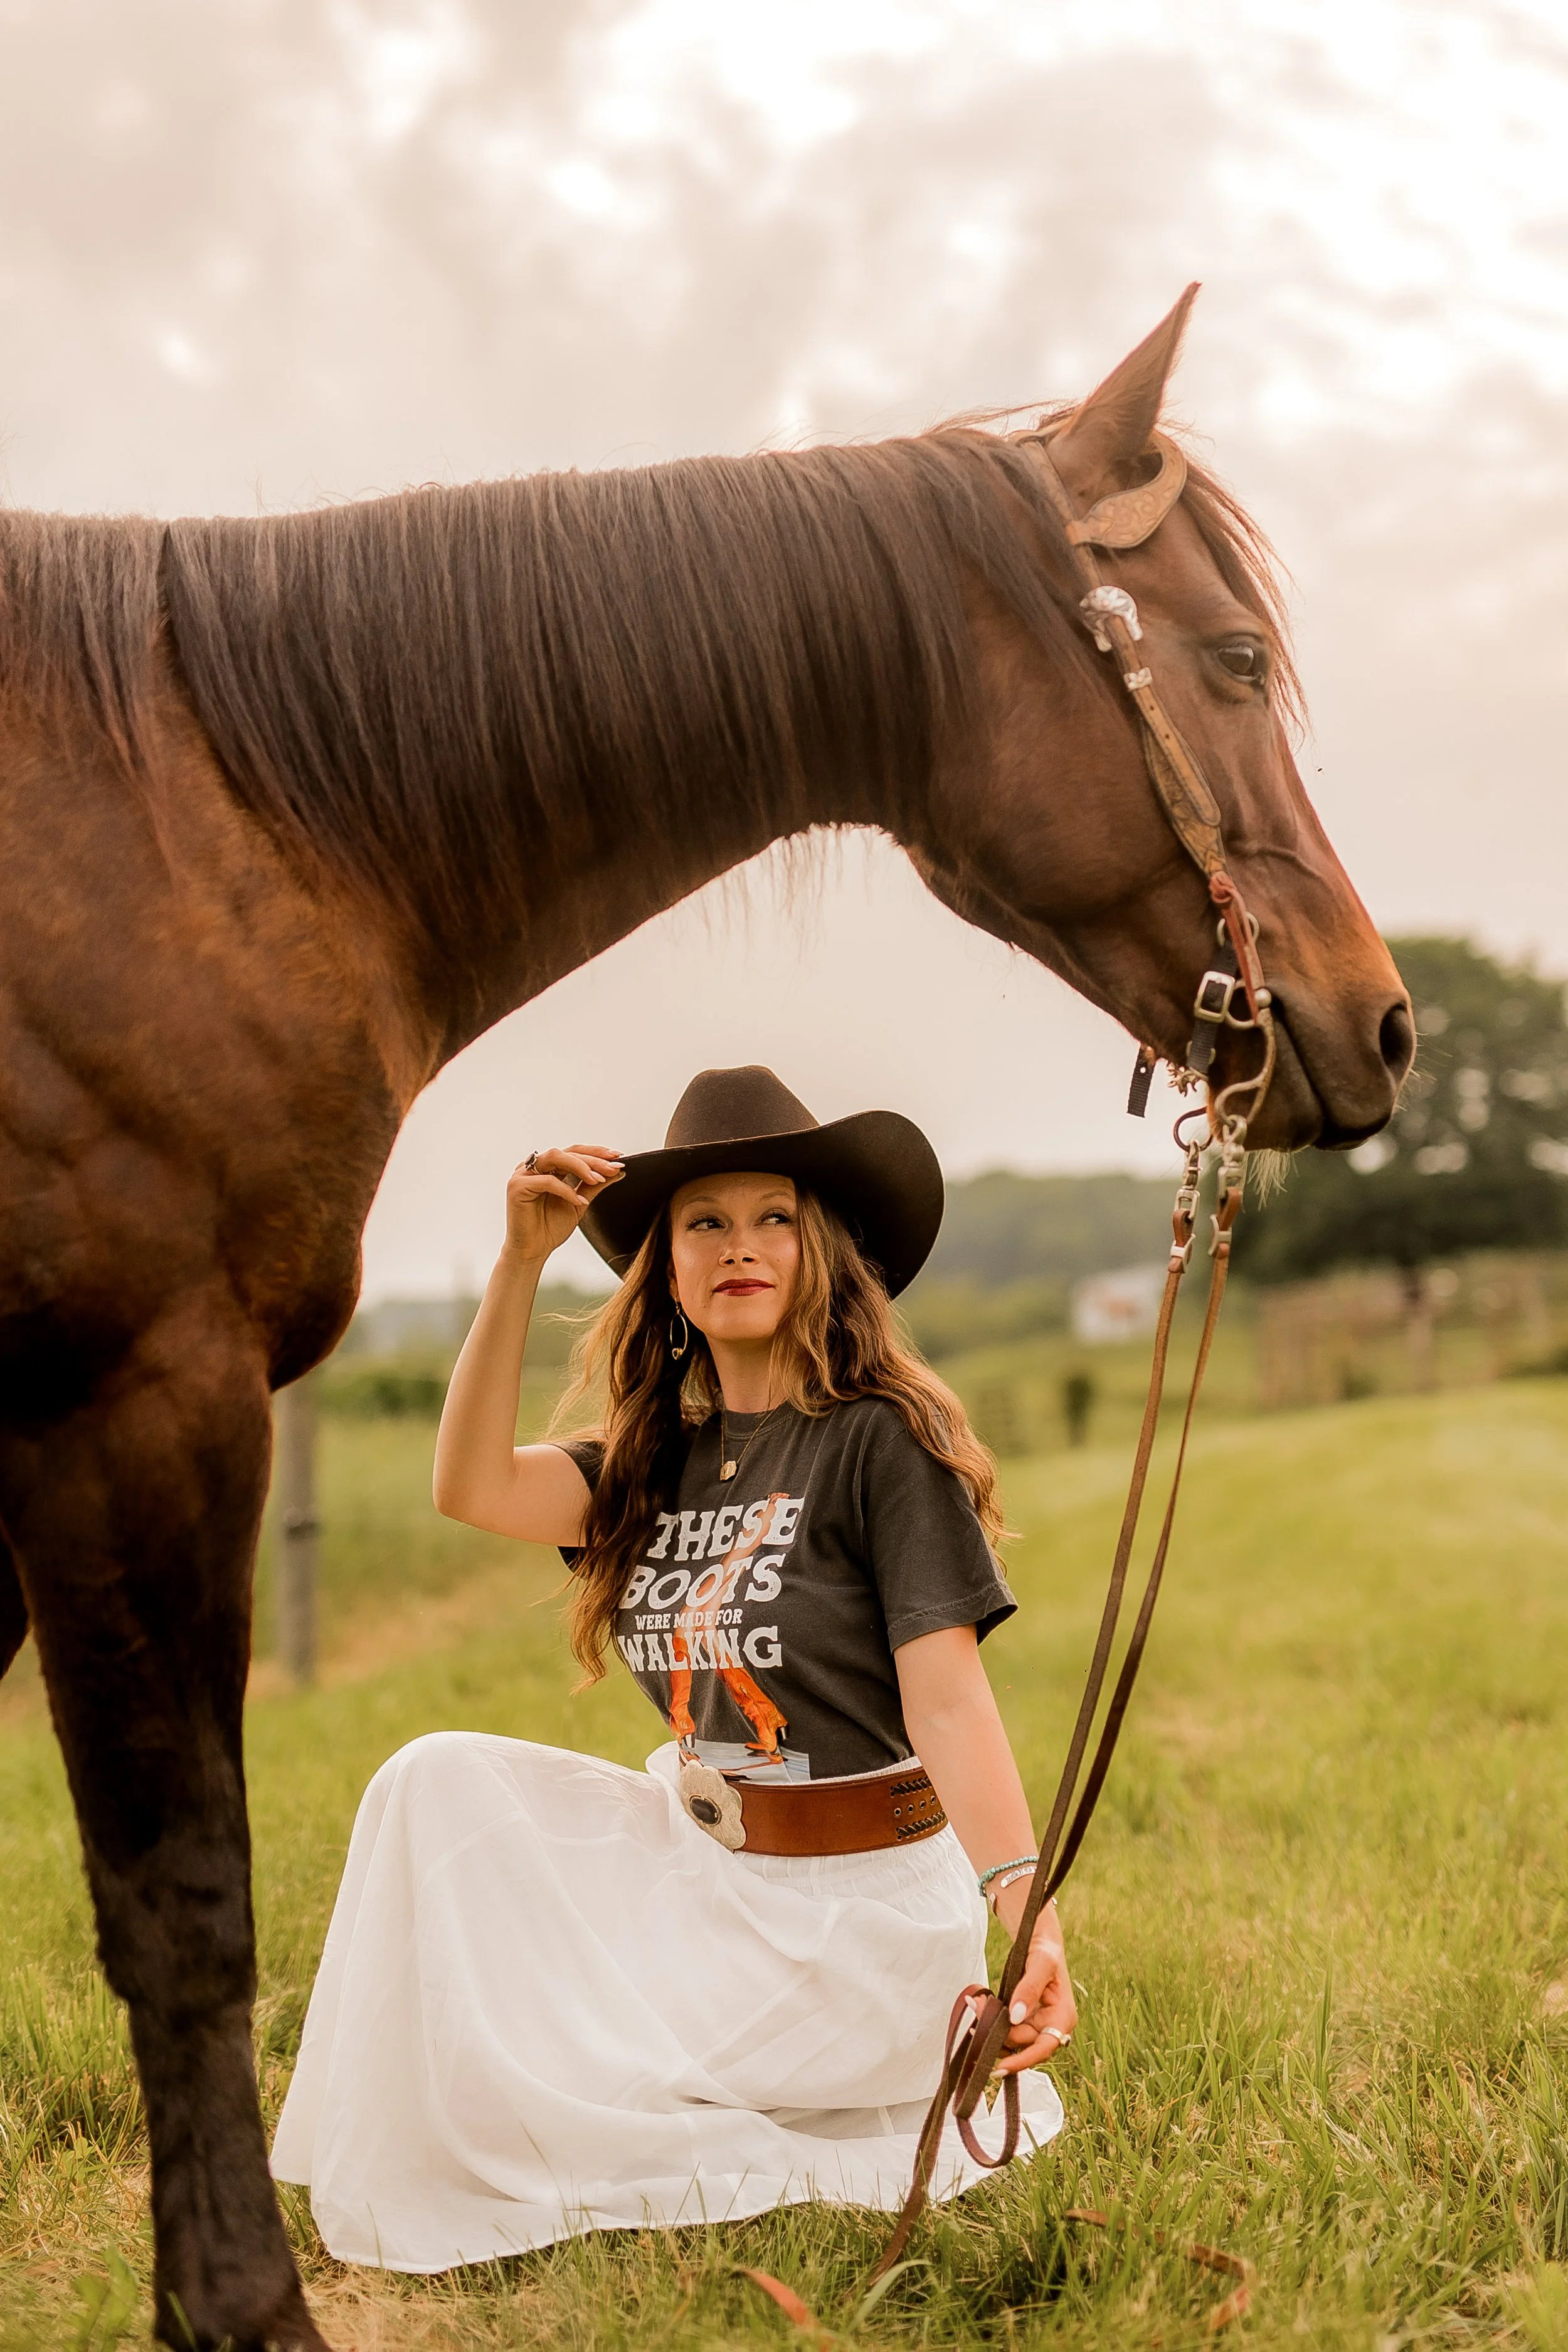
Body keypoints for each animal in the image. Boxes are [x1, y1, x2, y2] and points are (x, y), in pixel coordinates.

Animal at [0, 290, 1411, 2349]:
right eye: (1228, 656)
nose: (1378, 1022)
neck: (226, 807)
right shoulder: (136, 1400)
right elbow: (181, 1892)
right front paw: (245, 2309)